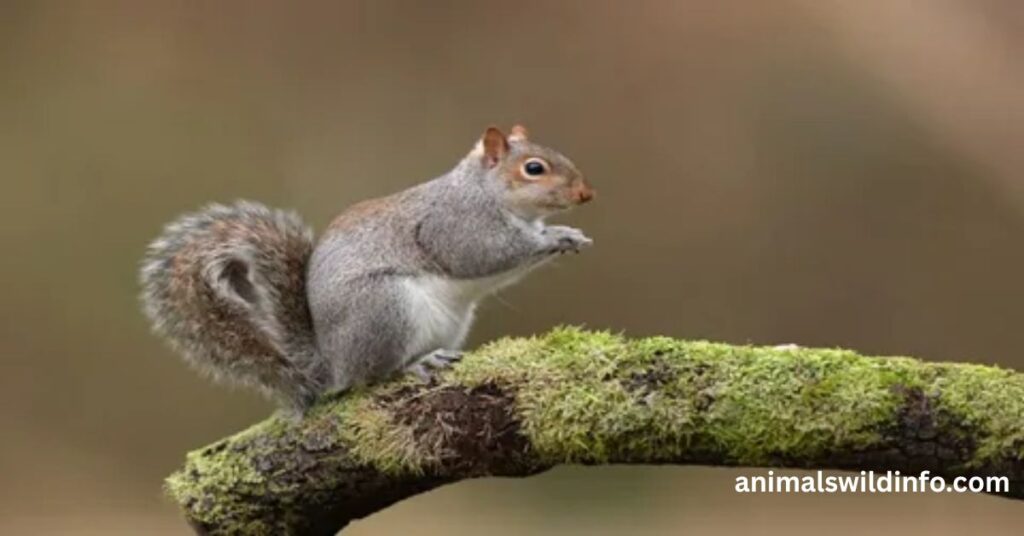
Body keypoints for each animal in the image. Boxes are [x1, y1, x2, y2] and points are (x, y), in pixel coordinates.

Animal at [139, 125, 594, 413]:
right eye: (533, 168)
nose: (585, 194)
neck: (480, 190)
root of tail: (332, 363)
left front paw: (566, 233)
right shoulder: (454, 226)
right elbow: (484, 255)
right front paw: (551, 238)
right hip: (384, 309)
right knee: (373, 376)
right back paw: (415, 365)